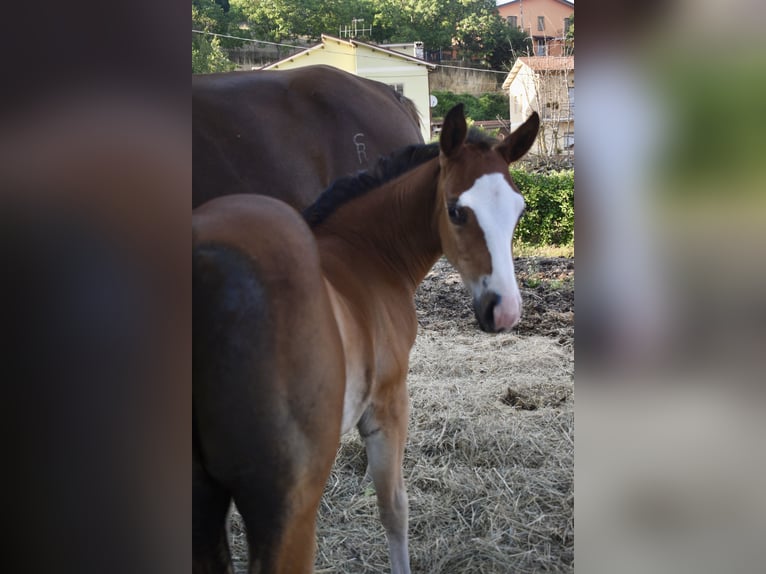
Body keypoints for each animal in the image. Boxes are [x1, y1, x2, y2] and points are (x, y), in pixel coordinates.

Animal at [192, 104, 540, 574]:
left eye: (519, 211)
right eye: (456, 211)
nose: (504, 311)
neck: (364, 253)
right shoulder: (387, 404)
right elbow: (394, 508)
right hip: (287, 511)